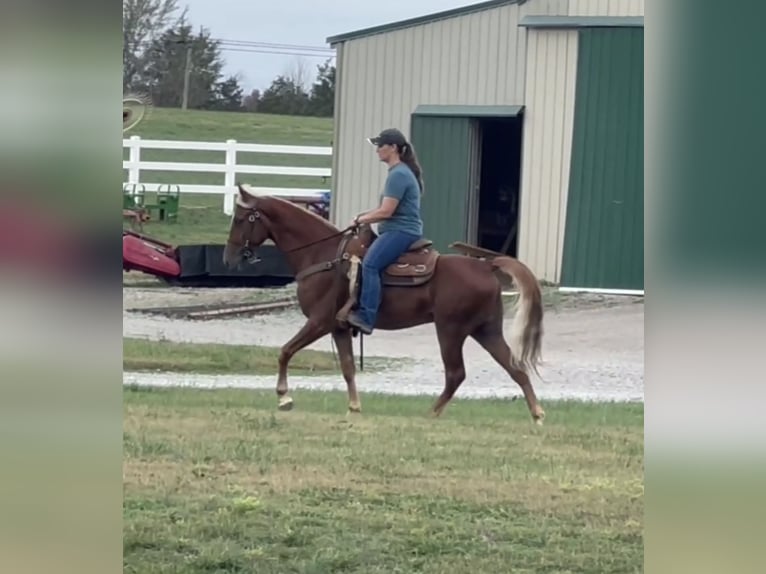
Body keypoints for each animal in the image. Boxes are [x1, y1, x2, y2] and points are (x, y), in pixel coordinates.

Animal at [220, 186, 544, 428]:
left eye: (240, 219)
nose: (228, 258)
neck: (323, 255)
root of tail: (487, 266)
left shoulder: (319, 321)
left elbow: (285, 351)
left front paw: (284, 397)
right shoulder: (338, 327)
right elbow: (348, 368)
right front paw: (353, 407)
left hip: (451, 330)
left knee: (456, 373)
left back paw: (431, 413)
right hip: (485, 330)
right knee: (515, 367)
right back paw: (537, 414)